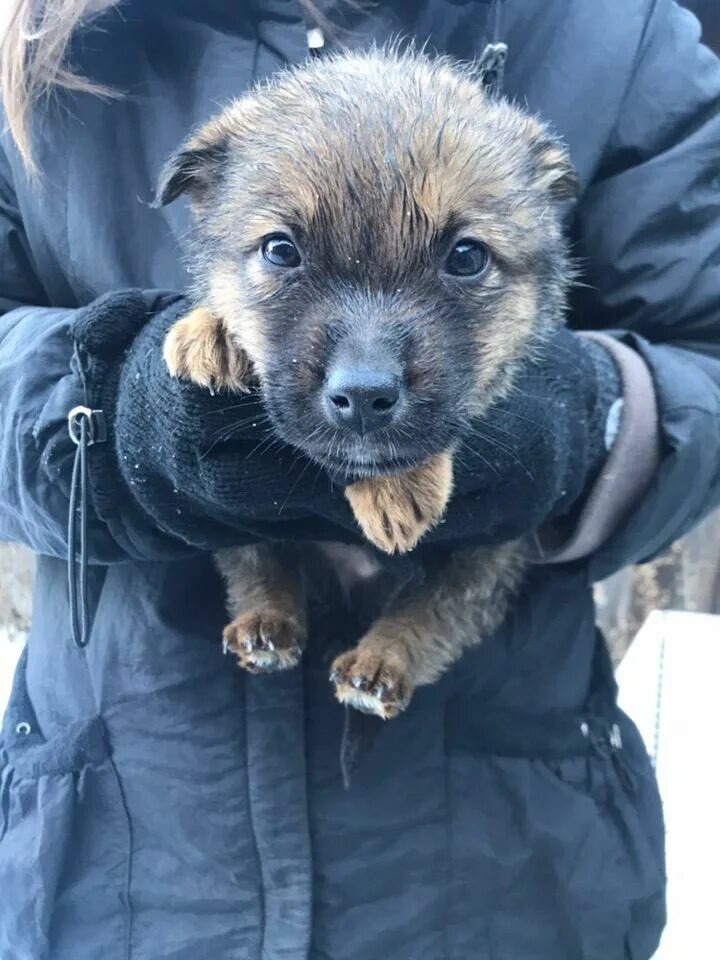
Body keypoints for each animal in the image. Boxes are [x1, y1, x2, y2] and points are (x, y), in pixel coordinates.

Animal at [156, 48, 572, 716]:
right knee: (256, 562)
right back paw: (267, 626)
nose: (362, 397)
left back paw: (378, 666)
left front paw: (397, 487)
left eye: (466, 257)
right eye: (280, 250)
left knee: (432, 616)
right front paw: (209, 331)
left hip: (488, 557)